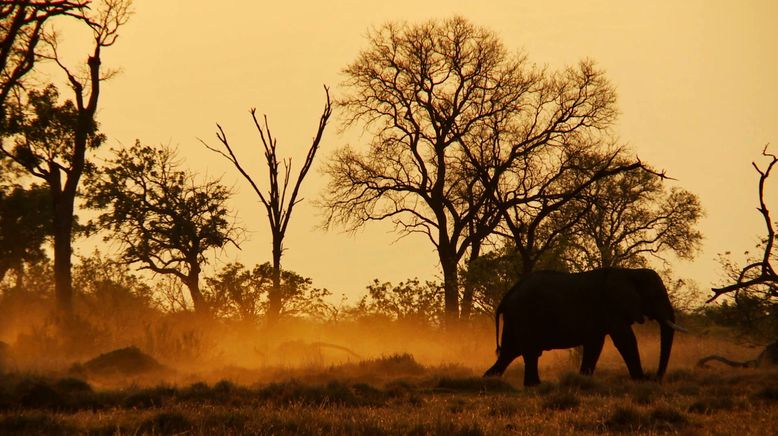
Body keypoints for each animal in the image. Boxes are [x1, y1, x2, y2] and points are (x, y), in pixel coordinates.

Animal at [484, 268, 684, 386]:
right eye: (656, 295)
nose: (655, 378)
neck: (629, 272)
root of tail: (507, 296)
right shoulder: (611, 307)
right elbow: (625, 339)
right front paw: (641, 381)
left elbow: (595, 344)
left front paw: (583, 380)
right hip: (525, 315)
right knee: (528, 352)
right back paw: (534, 385)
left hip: (515, 319)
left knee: (510, 351)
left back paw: (490, 379)